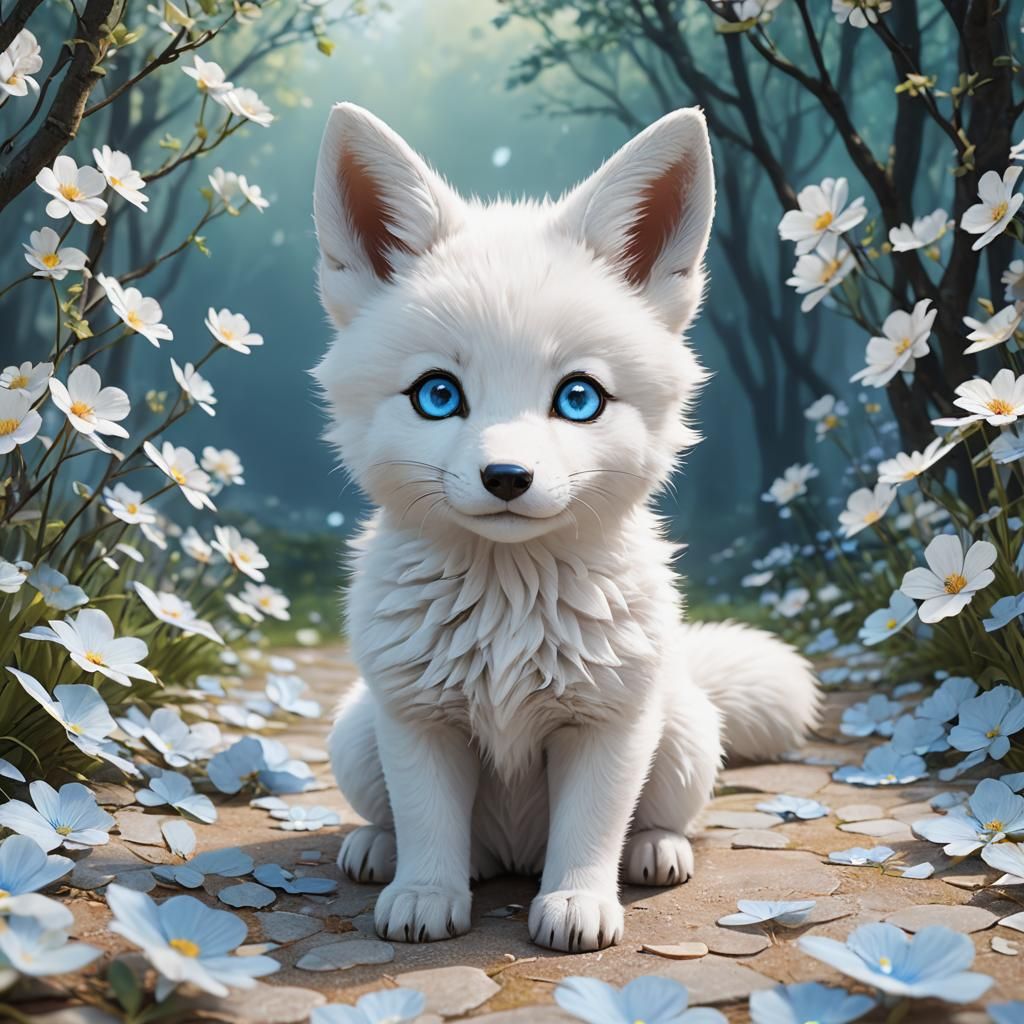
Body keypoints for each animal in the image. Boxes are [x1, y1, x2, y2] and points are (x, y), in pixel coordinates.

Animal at [311, 102, 819, 953]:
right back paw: (378, 851)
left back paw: (656, 852)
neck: (509, 607)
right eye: (438, 395)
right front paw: (424, 896)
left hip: (680, 730)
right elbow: (427, 824)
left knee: (661, 817)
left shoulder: (606, 725)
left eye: (579, 398)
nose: (507, 478)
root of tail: (510, 856)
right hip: (357, 732)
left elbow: (592, 828)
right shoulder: (419, 720)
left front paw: (578, 904)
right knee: (405, 824)